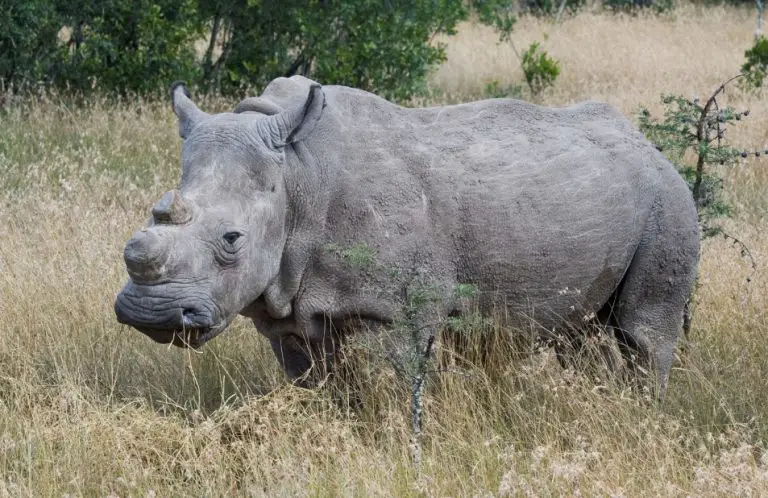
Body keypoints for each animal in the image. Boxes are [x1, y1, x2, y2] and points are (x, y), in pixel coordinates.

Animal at [115, 76, 704, 398]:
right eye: (152, 215)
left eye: (232, 239)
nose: (151, 313)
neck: (298, 176)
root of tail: (648, 144)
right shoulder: (286, 311)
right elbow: (317, 388)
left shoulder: (392, 312)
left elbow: (394, 394)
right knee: (579, 333)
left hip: (669, 201)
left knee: (643, 333)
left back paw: (639, 414)